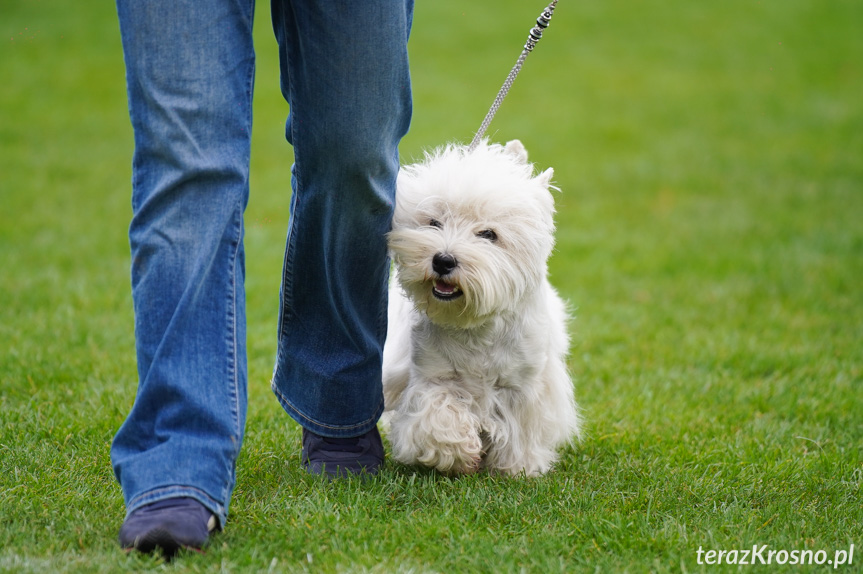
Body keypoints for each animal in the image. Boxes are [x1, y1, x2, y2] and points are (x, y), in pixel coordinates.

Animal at [384, 140, 580, 476]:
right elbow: (437, 415)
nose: (443, 260)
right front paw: (457, 453)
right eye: (434, 222)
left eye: (488, 234)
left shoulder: (523, 386)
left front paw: (518, 467)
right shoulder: (431, 376)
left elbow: (521, 429)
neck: (475, 325)